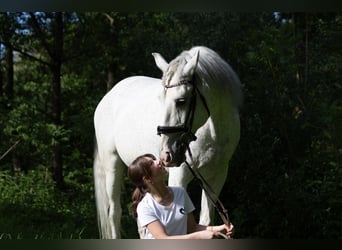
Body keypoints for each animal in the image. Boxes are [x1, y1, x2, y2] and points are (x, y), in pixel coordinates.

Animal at [93, 45, 242, 238]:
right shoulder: (179, 176)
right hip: (112, 165)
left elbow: (206, 220)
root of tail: (109, 95)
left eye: (181, 101)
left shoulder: (217, 177)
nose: (166, 154)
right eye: (161, 99)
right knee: (114, 213)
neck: (213, 133)